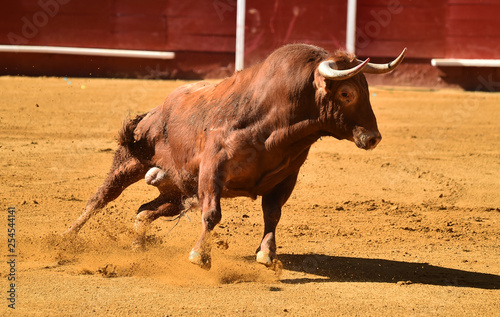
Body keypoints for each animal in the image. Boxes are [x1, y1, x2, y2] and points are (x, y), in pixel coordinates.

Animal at [63, 42, 406, 270]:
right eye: (347, 93)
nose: (373, 137)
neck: (276, 125)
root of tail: (155, 111)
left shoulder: (285, 178)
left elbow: (273, 214)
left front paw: (267, 254)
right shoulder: (212, 170)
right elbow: (212, 214)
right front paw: (199, 255)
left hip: (176, 190)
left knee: (144, 210)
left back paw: (137, 246)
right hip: (131, 162)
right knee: (99, 199)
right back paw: (65, 239)